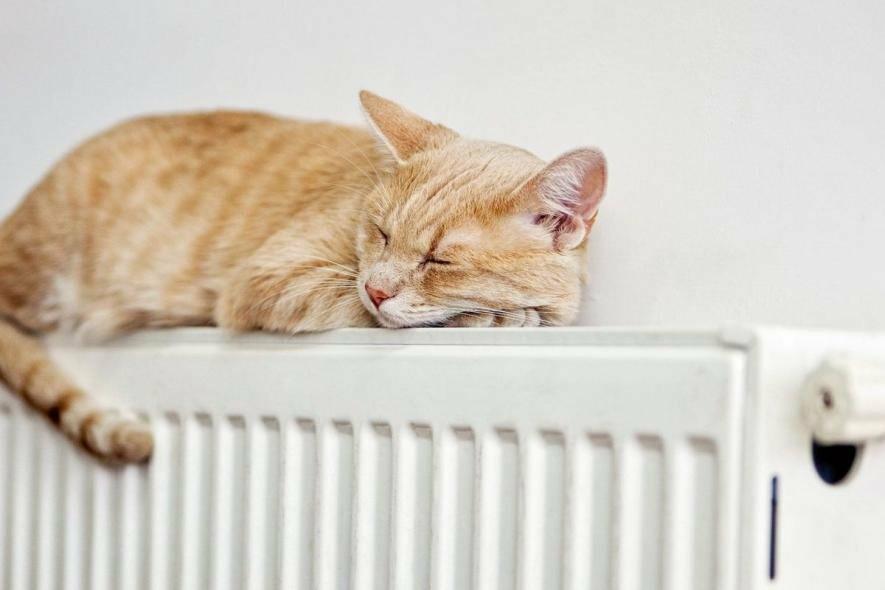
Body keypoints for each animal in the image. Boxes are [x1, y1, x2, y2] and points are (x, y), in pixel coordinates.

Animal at [0, 91, 607, 462]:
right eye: (381, 232)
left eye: (439, 260)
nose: (378, 287)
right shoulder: (269, 279)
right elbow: (373, 312)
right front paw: (502, 316)